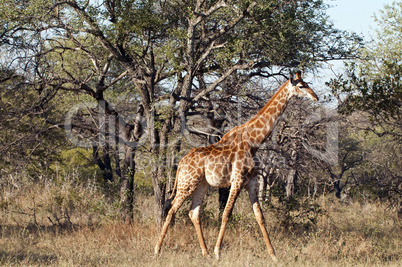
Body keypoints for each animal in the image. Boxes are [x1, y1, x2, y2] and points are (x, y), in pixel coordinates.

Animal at [155, 70, 318, 262]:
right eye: (301, 86)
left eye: (307, 83)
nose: (315, 97)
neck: (254, 141)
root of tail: (180, 163)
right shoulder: (237, 180)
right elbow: (226, 213)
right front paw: (218, 252)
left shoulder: (252, 182)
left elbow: (260, 216)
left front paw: (273, 255)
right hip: (187, 183)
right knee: (171, 209)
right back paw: (157, 250)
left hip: (201, 184)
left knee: (193, 213)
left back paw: (205, 252)